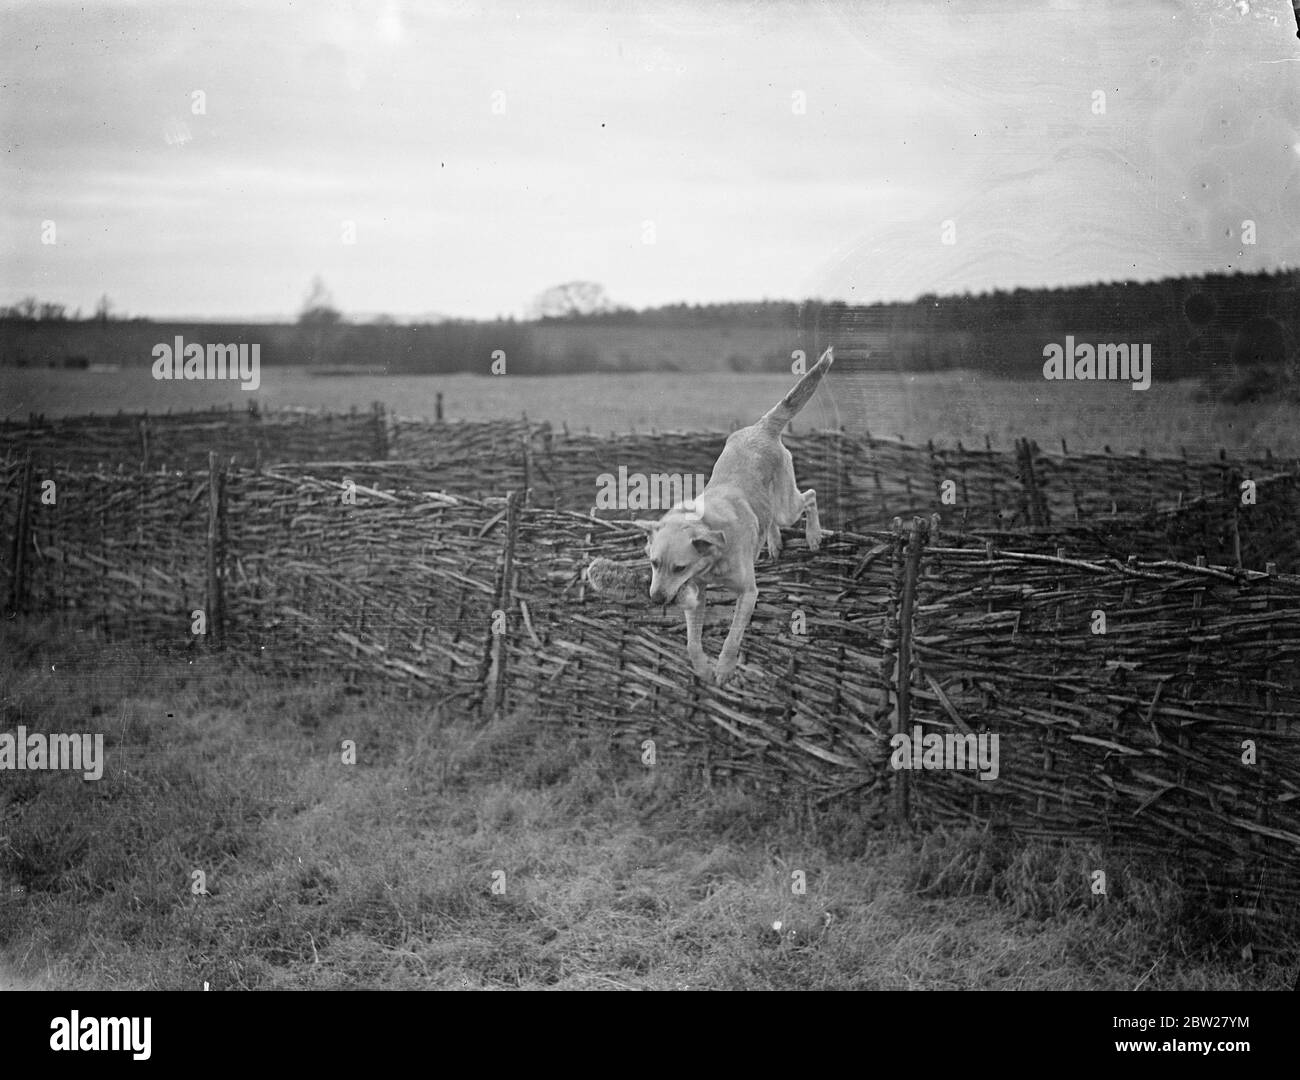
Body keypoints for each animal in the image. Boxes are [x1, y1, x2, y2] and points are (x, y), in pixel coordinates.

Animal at [637, 345, 832, 686]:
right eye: (654, 563)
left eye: (679, 567)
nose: (657, 599)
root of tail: (761, 427)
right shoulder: (696, 593)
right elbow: (692, 643)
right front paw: (702, 668)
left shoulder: (748, 594)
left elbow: (732, 637)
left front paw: (725, 669)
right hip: (772, 505)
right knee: (770, 519)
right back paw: (774, 543)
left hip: (787, 505)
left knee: (809, 497)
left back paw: (813, 536)